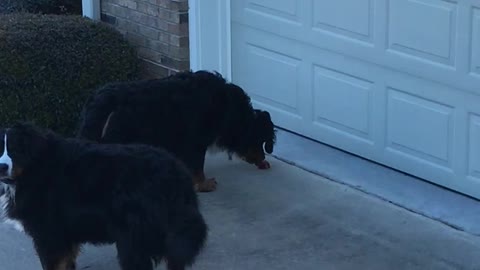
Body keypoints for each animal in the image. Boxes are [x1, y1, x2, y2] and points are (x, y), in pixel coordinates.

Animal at [0, 123, 207, 270]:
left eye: (14, 149)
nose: (2, 166)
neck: (34, 166)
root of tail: (176, 172)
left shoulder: (48, 232)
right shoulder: (64, 233)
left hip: (132, 237)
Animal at [77, 69, 276, 192]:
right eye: (260, 140)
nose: (263, 159)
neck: (230, 110)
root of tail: (103, 100)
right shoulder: (197, 140)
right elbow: (198, 166)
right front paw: (204, 185)